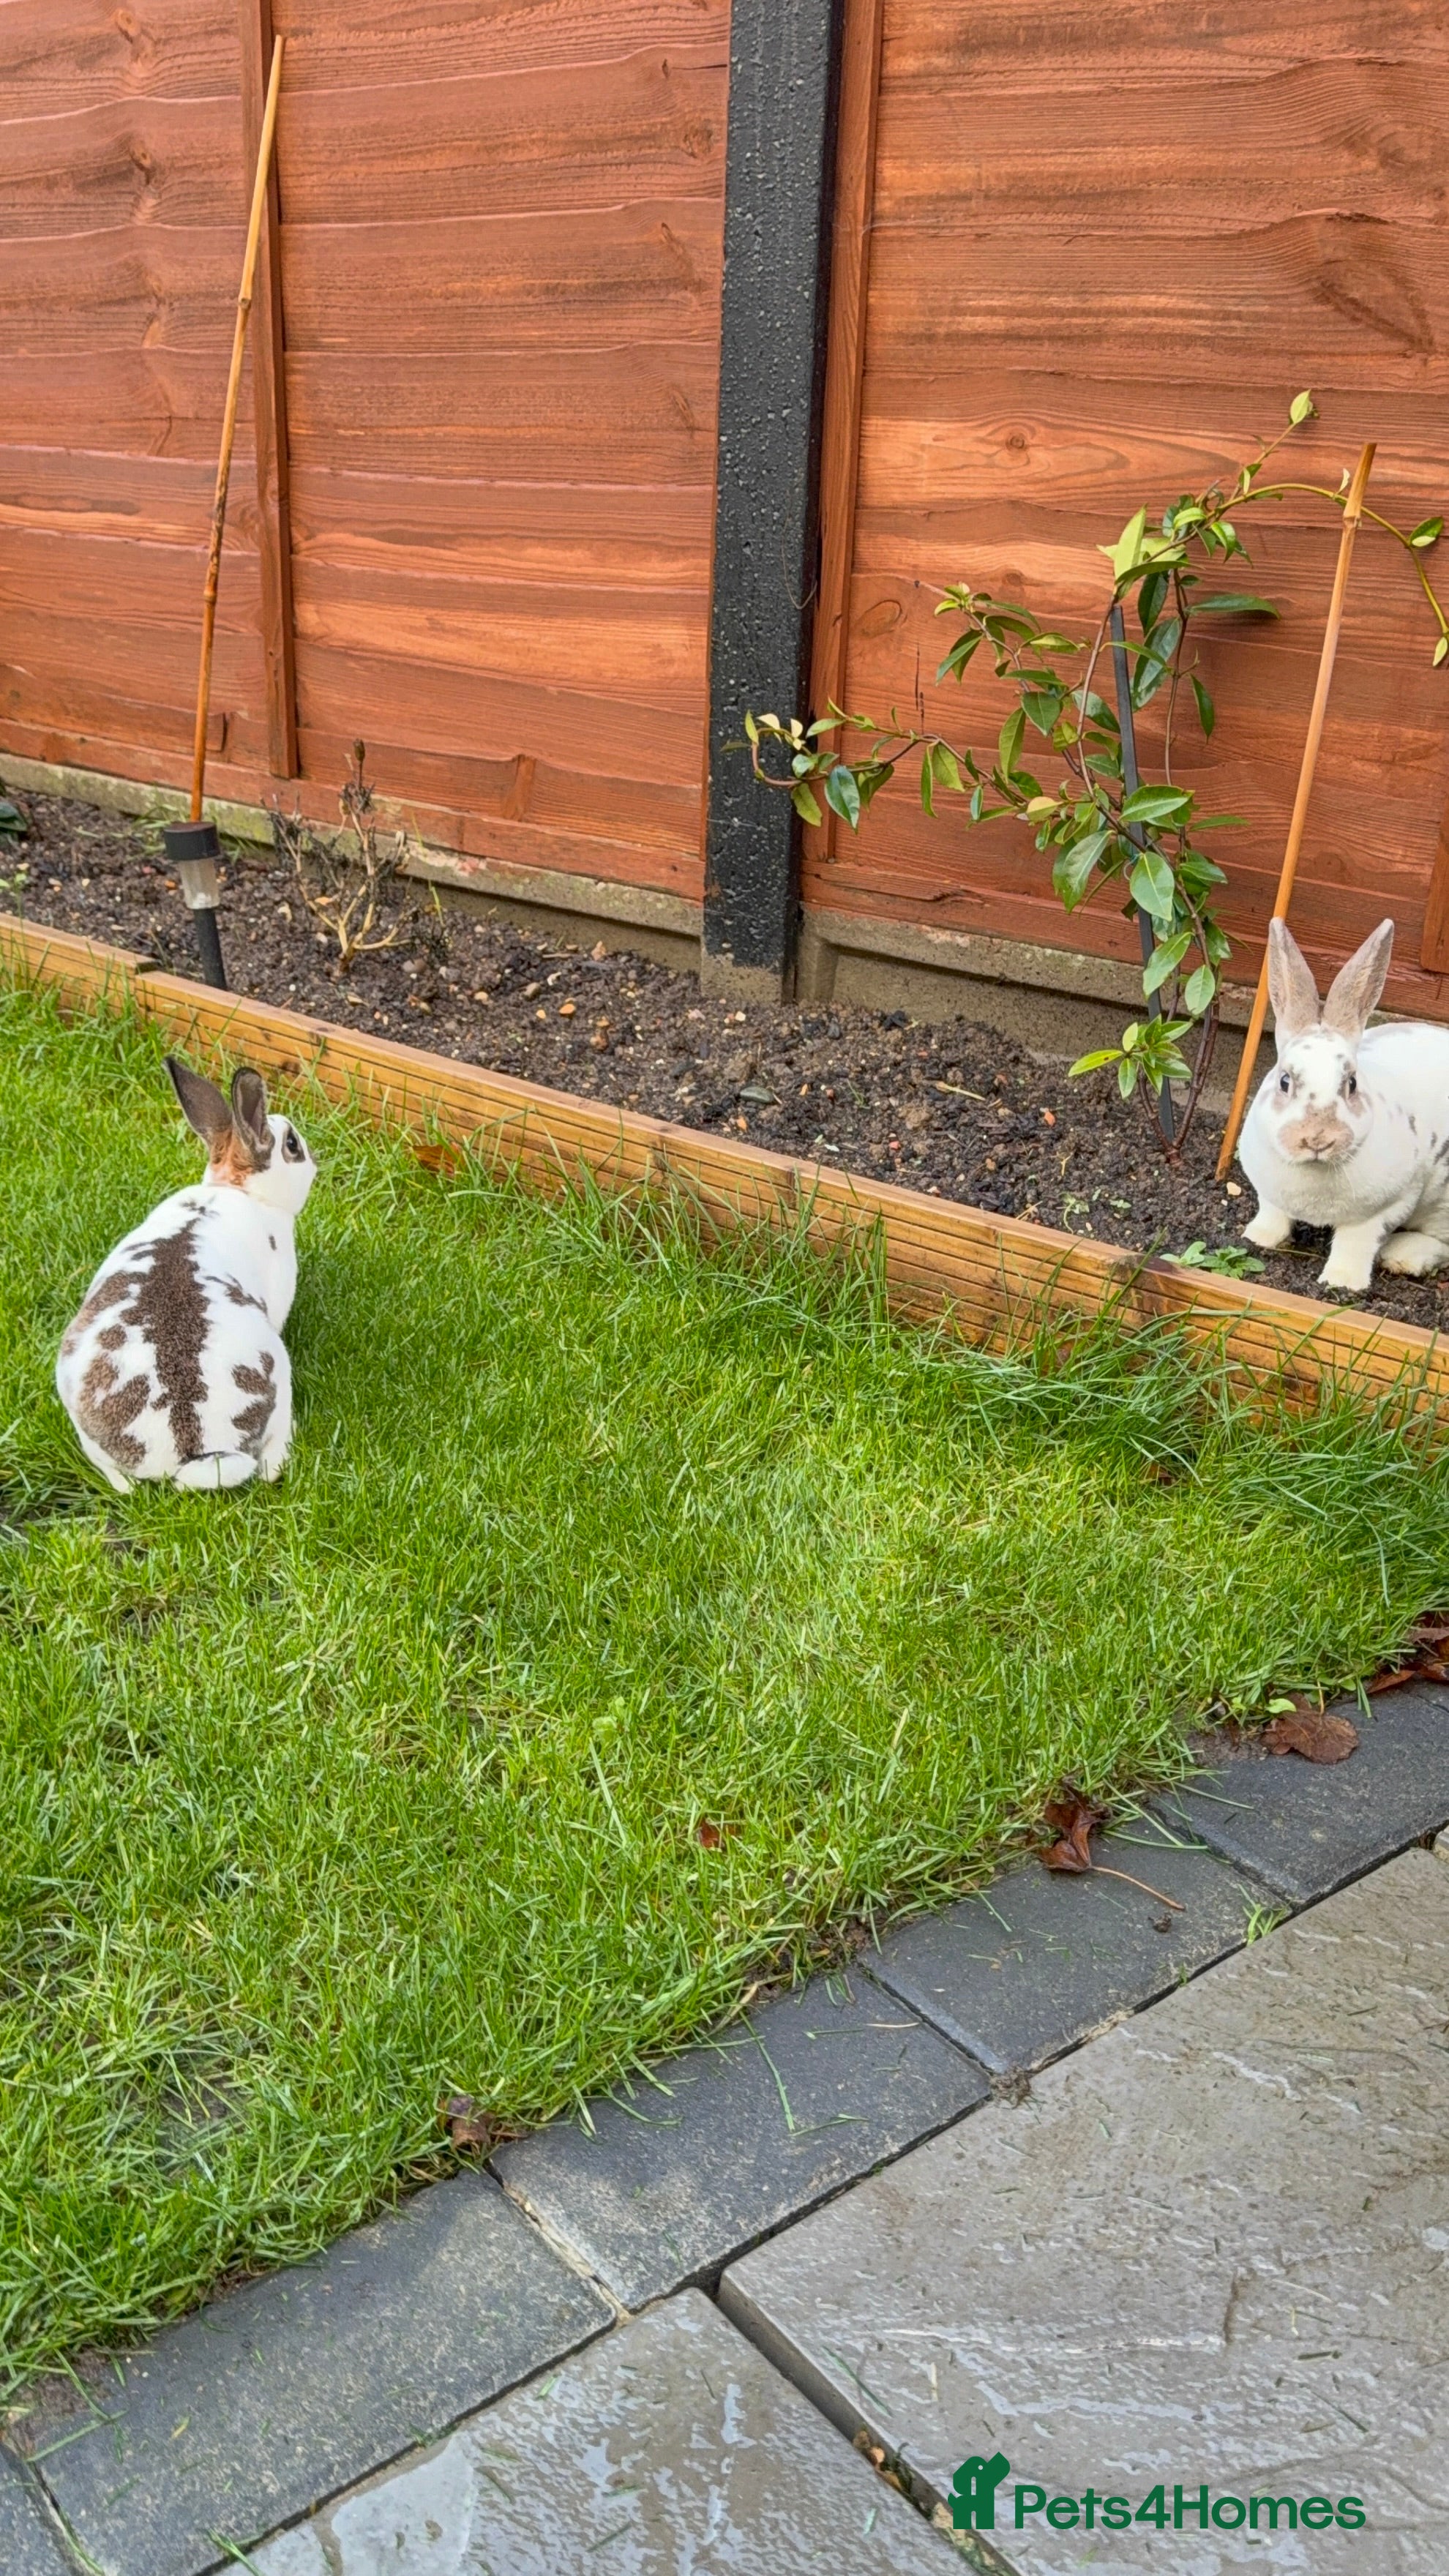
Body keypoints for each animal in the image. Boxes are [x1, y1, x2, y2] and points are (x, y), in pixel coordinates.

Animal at [56, 1055, 316, 1493]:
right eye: (292, 1145)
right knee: (271, 1457)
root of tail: (191, 1452)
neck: (238, 1191)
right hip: (280, 1375)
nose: (314, 1162)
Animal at [1238, 916, 1449, 1293]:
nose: (1317, 1138)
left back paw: (1403, 1255)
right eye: (1285, 1081)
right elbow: (1272, 1215)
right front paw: (1257, 1238)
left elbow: (1355, 1244)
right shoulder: (1269, 1194)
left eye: (1351, 1084)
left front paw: (1342, 1283)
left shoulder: (1384, 1210)